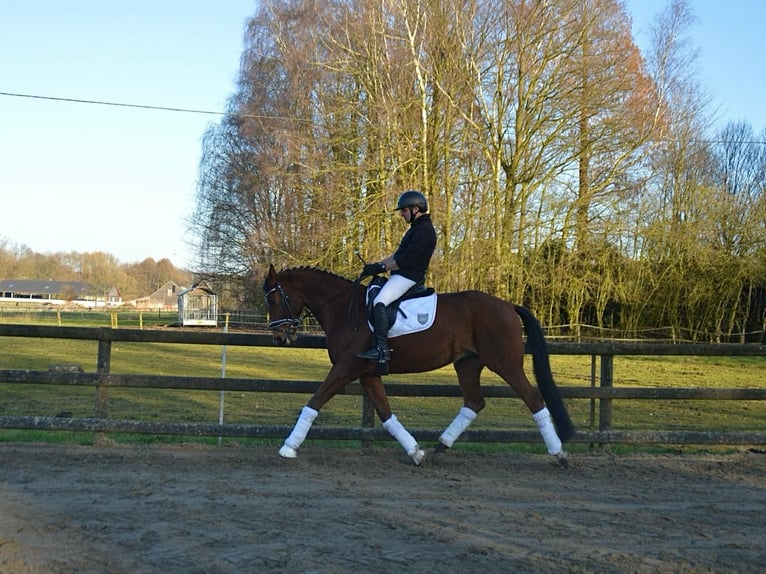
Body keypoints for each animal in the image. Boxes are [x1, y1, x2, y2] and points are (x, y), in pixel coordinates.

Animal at [263, 264, 575, 467]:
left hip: (506, 363)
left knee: (534, 400)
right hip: (468, 364)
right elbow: (386, 415)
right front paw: (415, 452)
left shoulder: (345, 369)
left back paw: (559, 454)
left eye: (274, 298)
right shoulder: (367, 375)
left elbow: (314, 402)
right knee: (474, 402)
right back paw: (440, 447)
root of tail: (508, 306)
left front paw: (288, 447)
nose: (279, 337)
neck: (344, 310)